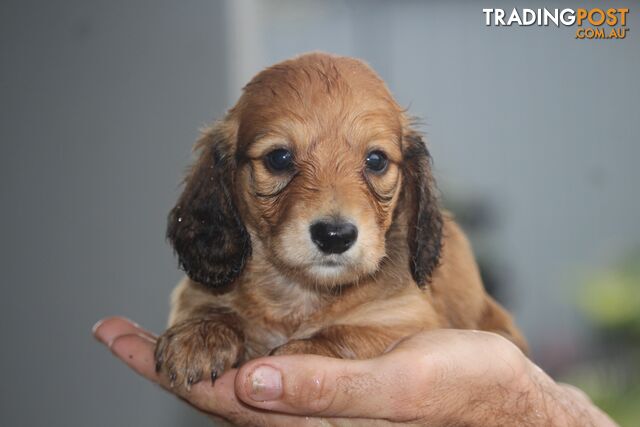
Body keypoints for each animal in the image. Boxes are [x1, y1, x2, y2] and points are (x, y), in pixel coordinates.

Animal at [155, 51, 524, 390]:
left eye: (376, 160)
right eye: (279, 158)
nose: (334, 235)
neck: (301, 294)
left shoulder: (407, 318)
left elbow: (345, 335)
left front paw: (301, 350)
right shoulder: (192, 293)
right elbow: (210, 305)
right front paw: (201, 334)